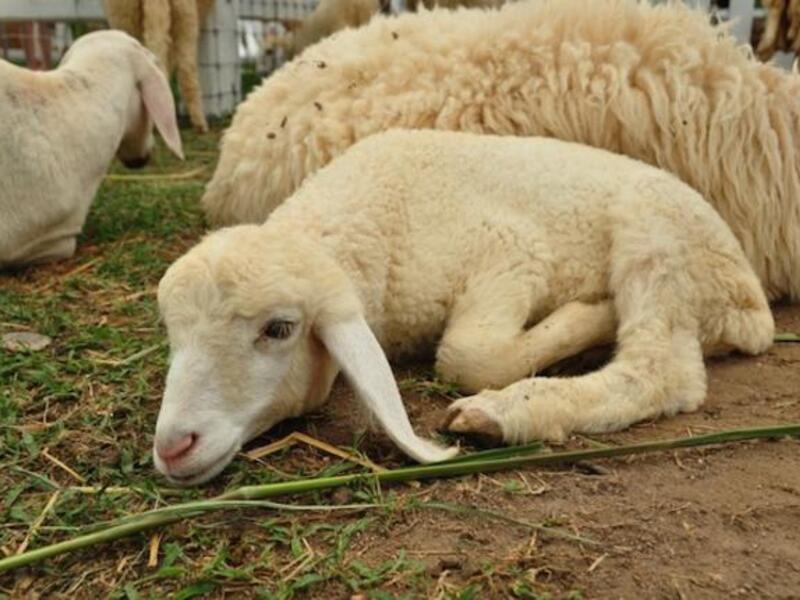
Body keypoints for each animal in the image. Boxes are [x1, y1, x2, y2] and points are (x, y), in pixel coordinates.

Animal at [154, 130, 773, 485]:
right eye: (174, 336)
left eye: (279, 329)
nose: (173, 447)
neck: (378, 213)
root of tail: (751, 308)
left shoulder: (514, 250)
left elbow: (466, 357)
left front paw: (586, 316)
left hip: (656, 234)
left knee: (662, 370)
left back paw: (507, 409)